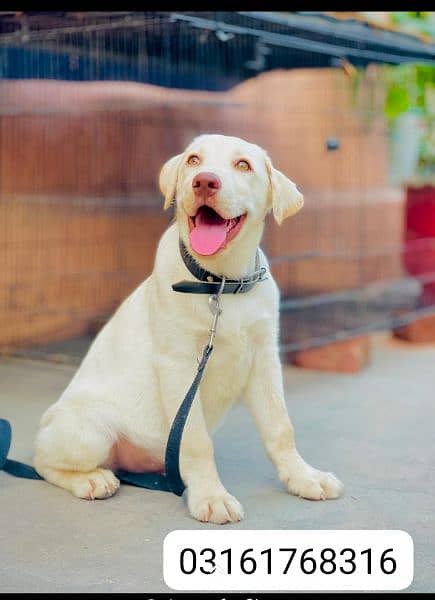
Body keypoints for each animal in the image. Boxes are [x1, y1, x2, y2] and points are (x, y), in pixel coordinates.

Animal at [34, 134, 344, 524]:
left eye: (243, 165)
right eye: (194, 160)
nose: (204, 182)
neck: (221, 284)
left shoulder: (264, 359)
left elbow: (280, 427)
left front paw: (304, 477)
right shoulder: (179, 366)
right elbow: (196, 441)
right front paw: (211, 496)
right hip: (88, 432)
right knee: (42, 461)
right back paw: (91, 479)